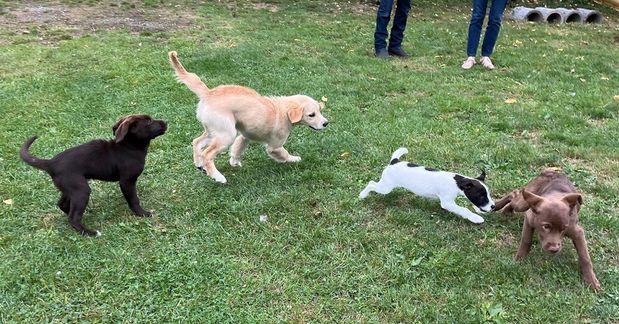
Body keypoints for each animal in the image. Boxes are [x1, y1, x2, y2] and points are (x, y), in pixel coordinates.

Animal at [165, 50, 330, 182]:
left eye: (320, 111)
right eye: (311, 115)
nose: (326, 123)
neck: (283, 110)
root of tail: (209, 93)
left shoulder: (245, 135)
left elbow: (238, 148)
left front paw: (234, 162)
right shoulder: (274, 146)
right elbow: (283, 153)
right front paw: (294, 159)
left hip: (214, 130)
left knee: (196, 142)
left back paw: (200, 164)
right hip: (226, 134)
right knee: (207, 153)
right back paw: (217, 176)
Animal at [358, 148, 494, 224]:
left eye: (488, 194)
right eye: (481, 196)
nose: (493, 206)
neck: (457, 181)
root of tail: (394, 162)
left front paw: (478, 210)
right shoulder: (447, 203)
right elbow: (463, 209)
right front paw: (475, 218)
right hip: (385, 187)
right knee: (371, 183)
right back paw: (362, 195)